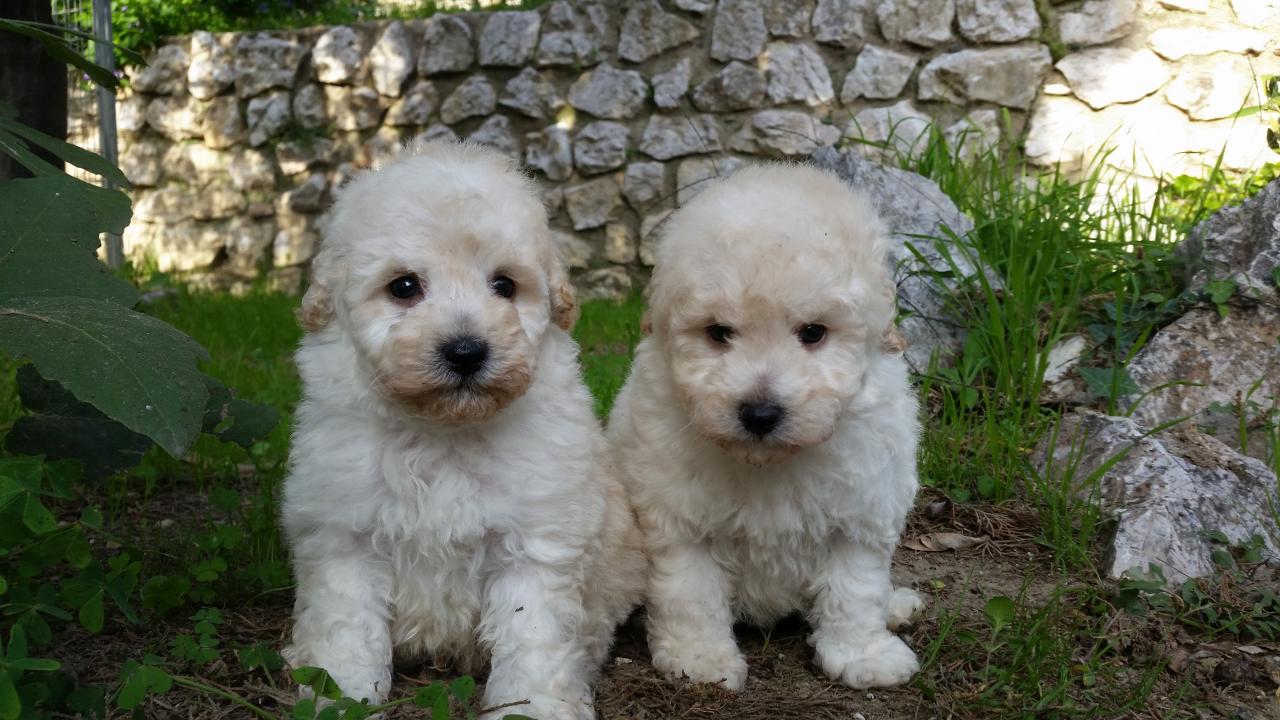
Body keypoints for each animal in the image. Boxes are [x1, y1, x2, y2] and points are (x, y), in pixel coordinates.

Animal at [288, 141, 650, 717]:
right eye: (404, 287)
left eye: (504, 285)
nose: (465, 351)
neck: (443, 433)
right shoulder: (344, 533)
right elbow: (346, 628)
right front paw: (342, 697)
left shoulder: (536, 539)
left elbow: (532, 635)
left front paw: (534, 706)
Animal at [606, 162, 921, 691]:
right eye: (718, 333)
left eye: (813, 332)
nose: (759, 414)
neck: (767, 461)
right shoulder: (677, 517)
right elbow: (690, 593)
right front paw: (700, 660)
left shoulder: (862, 509)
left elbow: (855, 590)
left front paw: (862, 654)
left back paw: (897, 605)